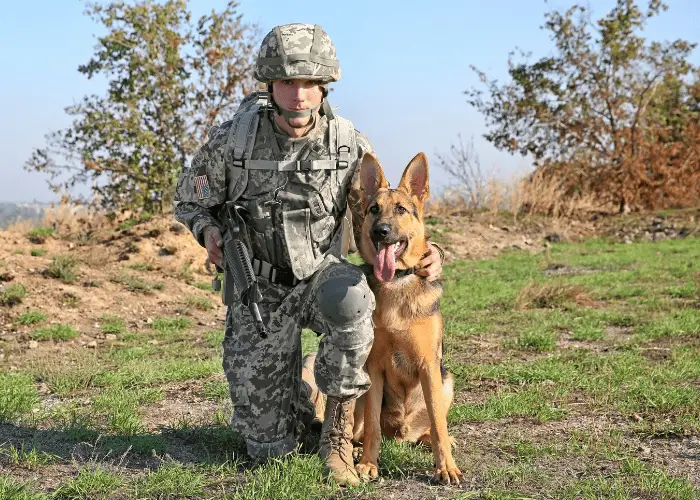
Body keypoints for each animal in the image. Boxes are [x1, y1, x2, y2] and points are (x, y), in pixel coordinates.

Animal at [352, 151, 462, 484]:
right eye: (373, 210)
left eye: (401, 209)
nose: (381, 231)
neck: (396, 282)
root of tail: (401, 436)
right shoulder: (373, 370)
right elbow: (372, 426)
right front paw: (368, 464)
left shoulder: (428, 366)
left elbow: (439, 424)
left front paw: (445, 467)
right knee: (360, 430)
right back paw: (354, 452)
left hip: (446, 379)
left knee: (432, 426)